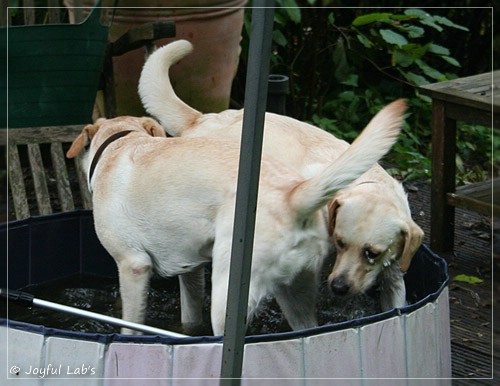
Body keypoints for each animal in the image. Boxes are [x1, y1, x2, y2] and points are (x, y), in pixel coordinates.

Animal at [65, 106, 402, 334]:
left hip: (227, 298)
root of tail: (293, 195)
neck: (121, 143)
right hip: (296, 291)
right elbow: (190, 315)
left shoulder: (133, 266)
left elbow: (131, 323)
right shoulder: (190, 268)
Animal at [139, 39, 424, 312]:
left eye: (372, 253)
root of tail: (202, 119)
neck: (367, 182)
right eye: (341, 242)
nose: (339, 287)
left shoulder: (395, 275)